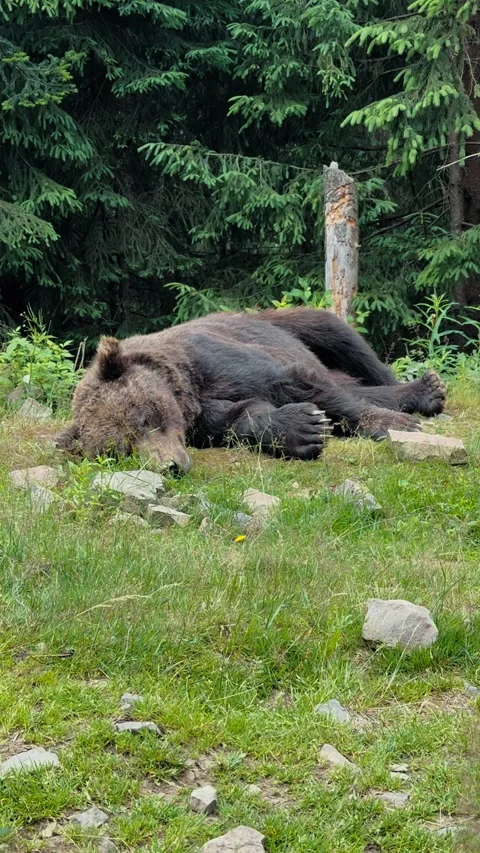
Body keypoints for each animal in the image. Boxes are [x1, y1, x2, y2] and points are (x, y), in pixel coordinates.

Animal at [55, 307, 446, 474]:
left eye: (143, 418)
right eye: (120, 451)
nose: (170, 466)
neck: (188, 387)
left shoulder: (217, 360)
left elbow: (298, 383)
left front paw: (395, 423)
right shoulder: (205, 418)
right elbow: (240, 419)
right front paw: (304, 429)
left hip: (289, 325)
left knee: (348, 348)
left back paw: (426, 390)